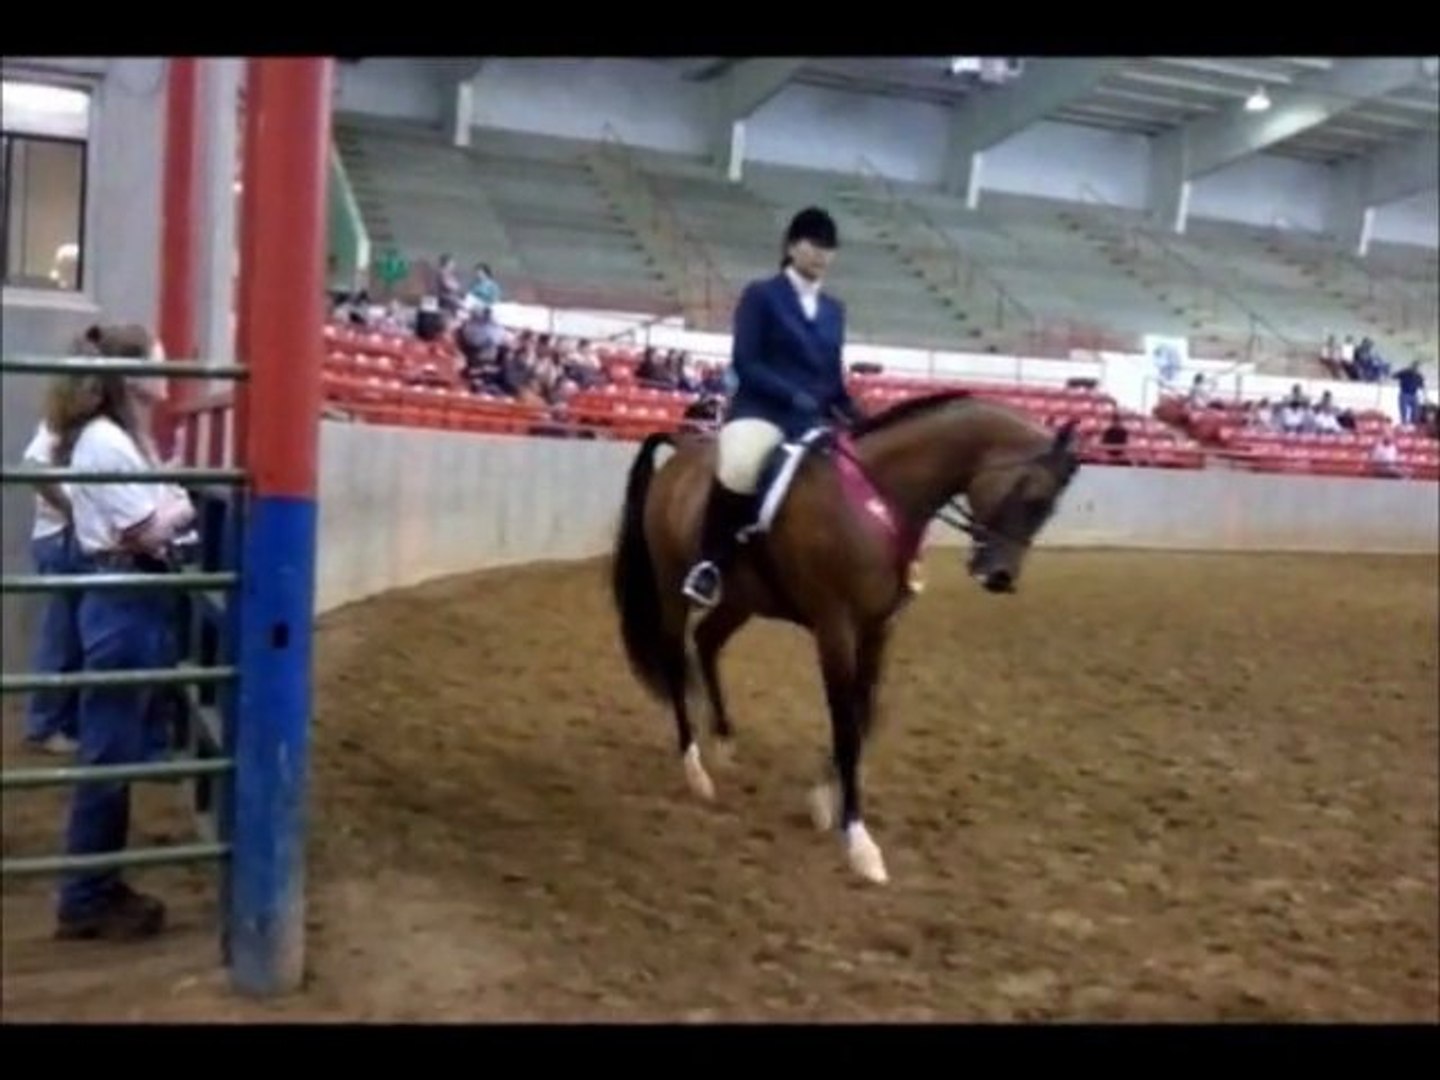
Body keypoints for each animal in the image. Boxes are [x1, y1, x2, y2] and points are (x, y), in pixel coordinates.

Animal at [607, 394, 1082, 881]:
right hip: (671, 585)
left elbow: (863, 715)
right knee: (674, 655)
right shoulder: (835, 626)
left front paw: (822, 797)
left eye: (1050, 509)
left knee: (706, 642)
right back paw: (695, 769)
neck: (879, 498)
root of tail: (683, 448)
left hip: (741, 599)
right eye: (1032, 496)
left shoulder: (878, 628)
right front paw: (858, 841)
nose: (1000, 578)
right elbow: (846, 723)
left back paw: (723, 742)